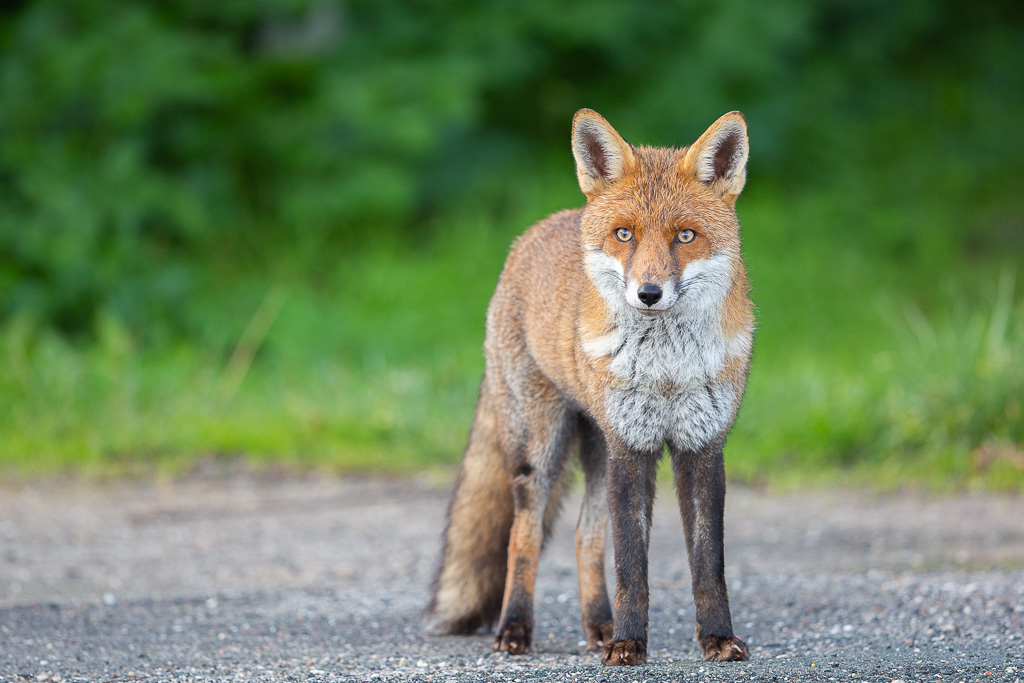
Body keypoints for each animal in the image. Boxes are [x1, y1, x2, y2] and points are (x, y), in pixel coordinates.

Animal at [426, 109, 754, 666]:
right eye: (625, 234)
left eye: (685, 237)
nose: (649, 293)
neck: (667, 371)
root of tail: (534, 232)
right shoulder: (632, 447)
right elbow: (632, 565)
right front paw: (628, 645)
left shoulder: (701, 447)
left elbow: (708, 563)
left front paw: (716, 639)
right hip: (541, 448)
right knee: (522, 535)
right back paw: (516, 628)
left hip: (597, 449)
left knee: (586, 536)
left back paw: (598, 624)